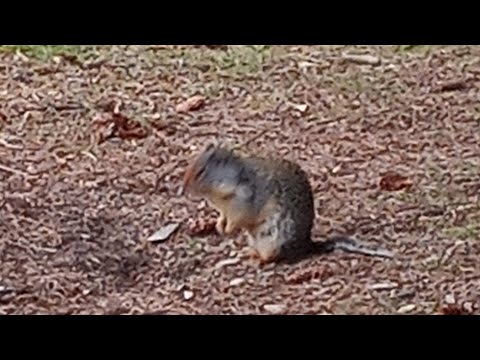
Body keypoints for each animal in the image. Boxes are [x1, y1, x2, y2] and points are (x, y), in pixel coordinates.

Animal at [181, 143, 394, 264]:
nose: (183, 187)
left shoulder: (245, 201)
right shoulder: (224, 208)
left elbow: (240, 218)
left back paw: (258, 261)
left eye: (201, 172)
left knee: (273, 258)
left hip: (272, 240)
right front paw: (219, 225)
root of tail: (306, 245)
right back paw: (249, 254)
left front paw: (228, 229)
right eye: (190, 165)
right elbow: (223, 216)